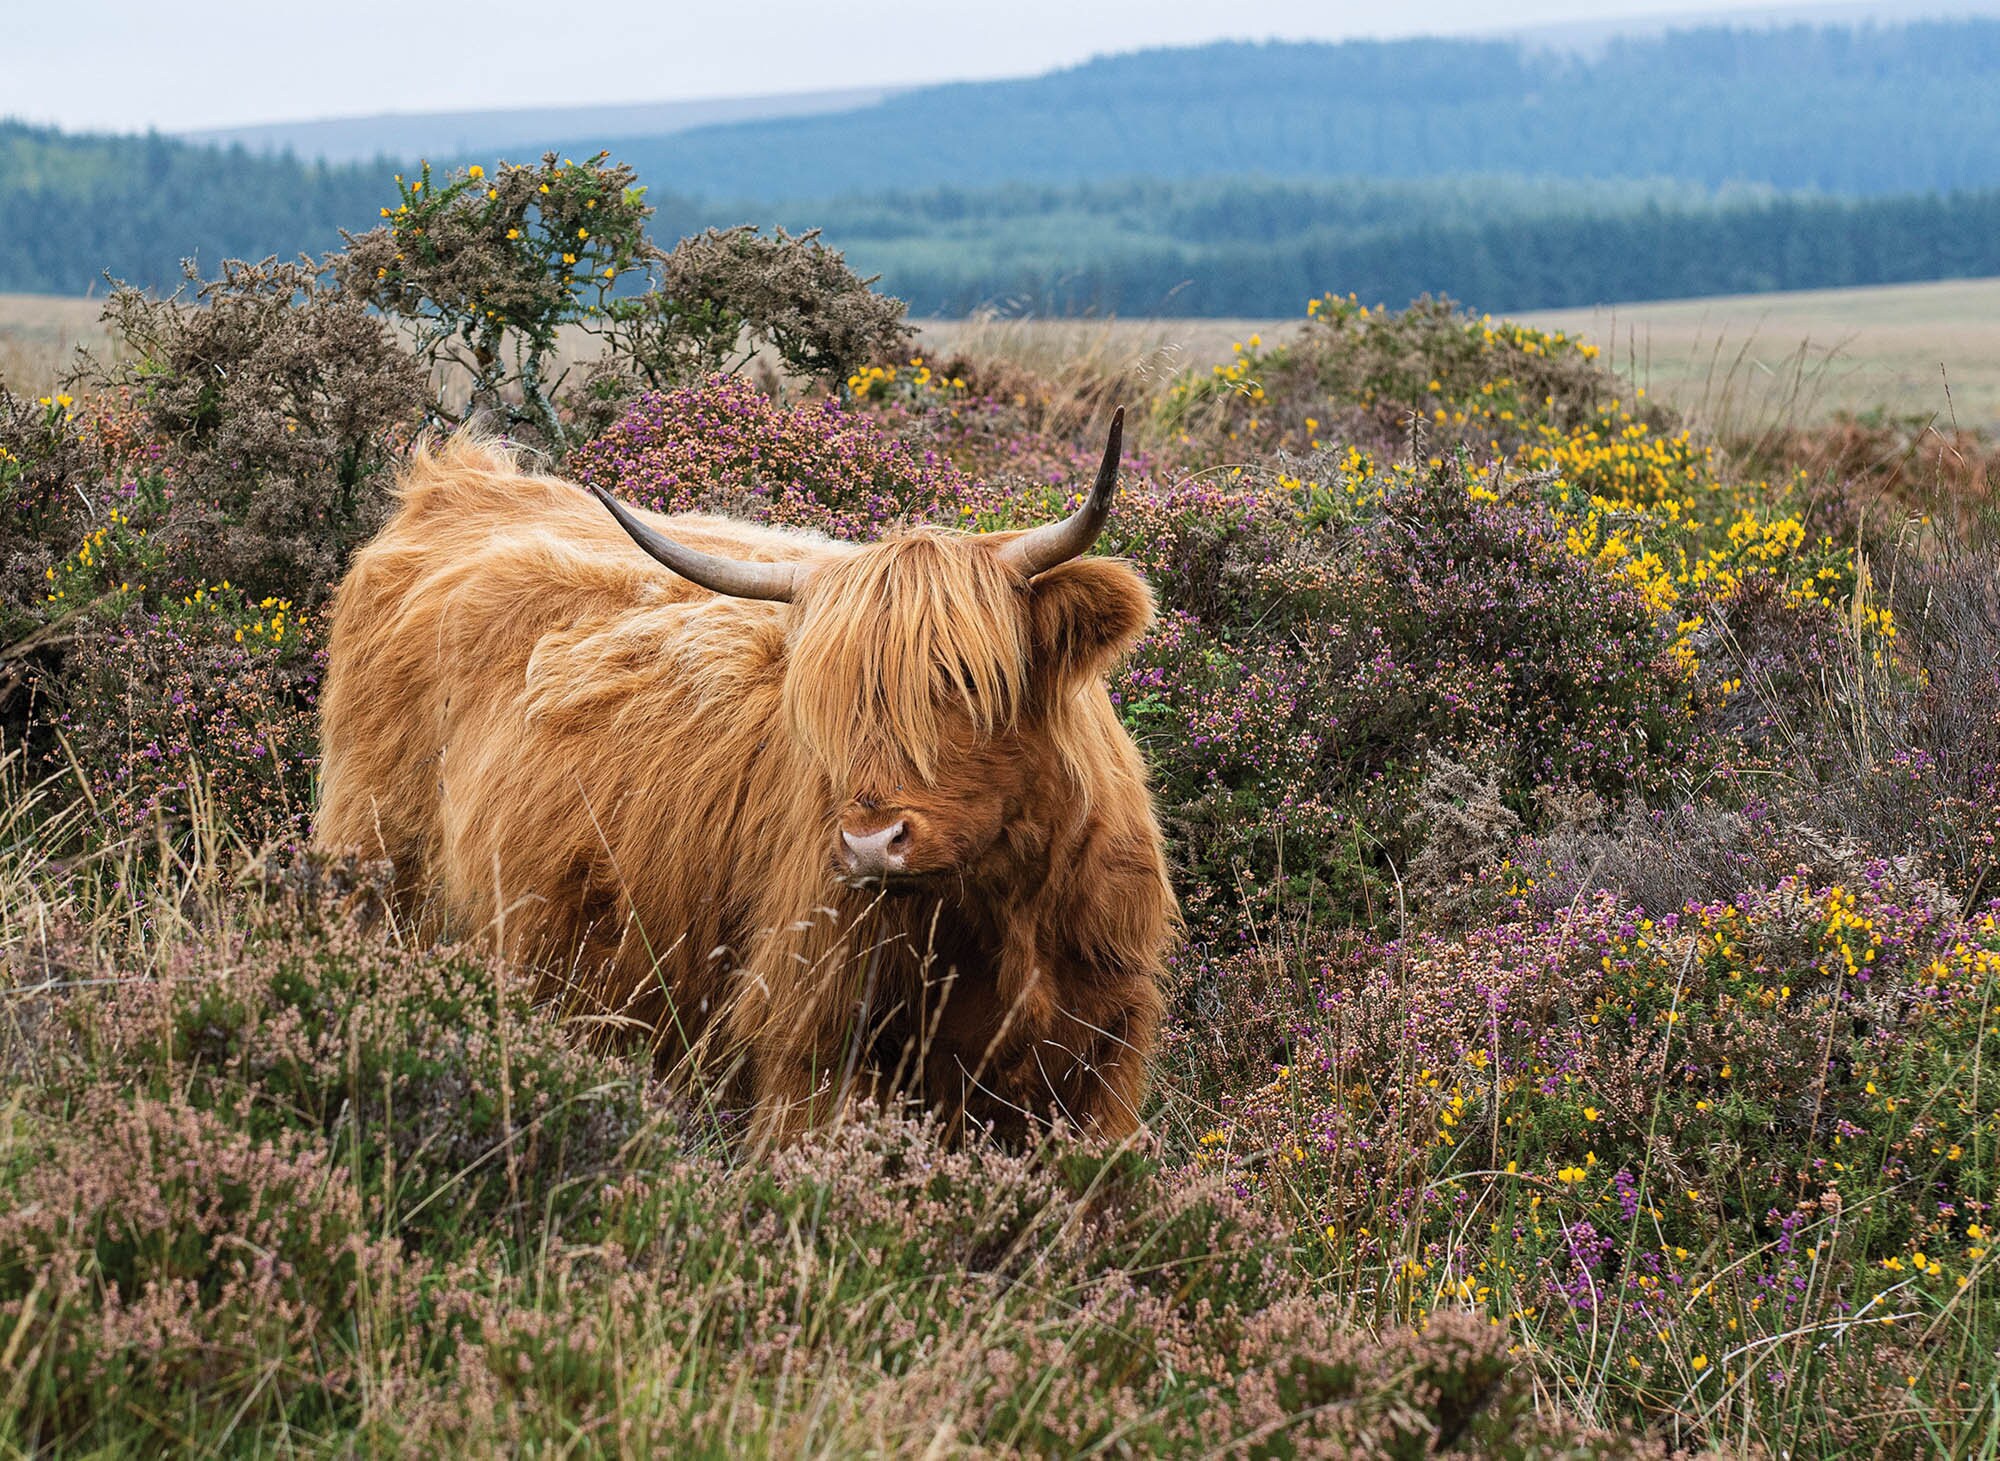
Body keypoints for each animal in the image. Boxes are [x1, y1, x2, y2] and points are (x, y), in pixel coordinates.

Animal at [313, 411, 1175, 1146]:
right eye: (822, 699)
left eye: (965, 679)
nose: (871, 843)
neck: (1000, 911)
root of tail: (455, 483)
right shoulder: (814, 1044)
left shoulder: (1102, 1057)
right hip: (375, 871)